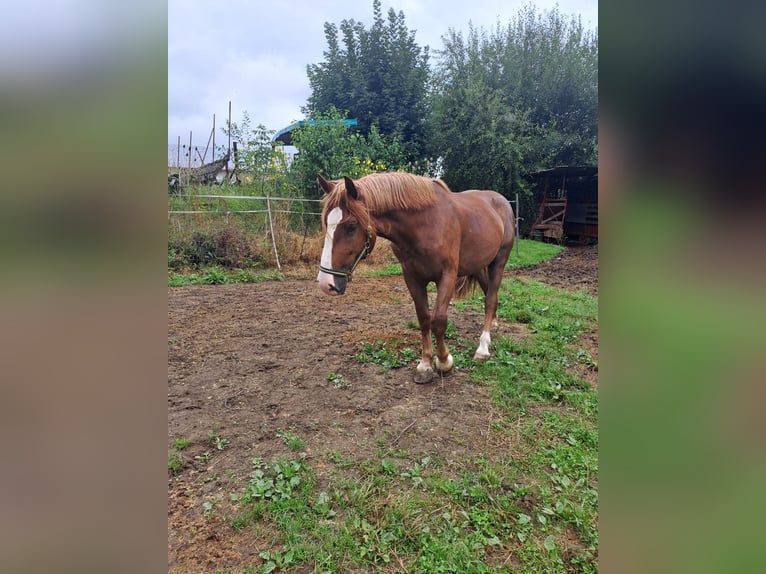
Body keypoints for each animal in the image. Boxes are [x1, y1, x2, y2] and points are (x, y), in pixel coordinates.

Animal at [318, 173, 516, 384]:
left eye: (351, 226)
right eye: (326, 222)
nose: (326, 283)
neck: (424, 224)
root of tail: (502, 201)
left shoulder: (447, 275)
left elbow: (438, 321)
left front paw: (444, 362)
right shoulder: (412, 277)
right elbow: (424, 318)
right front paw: (425, 365)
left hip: (499, 262)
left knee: (490, 299)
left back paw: (483, 348)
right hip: (478, 265)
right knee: (489, 293)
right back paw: (493, 324)